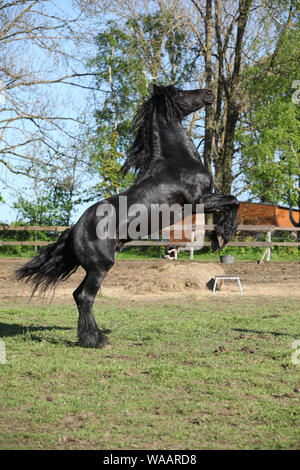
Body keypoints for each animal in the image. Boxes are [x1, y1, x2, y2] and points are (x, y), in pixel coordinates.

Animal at [16, 84, 240, 348]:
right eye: (180, 93)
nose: (208, 93)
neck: (177, 163)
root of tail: (74, 231)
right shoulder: (198, 202)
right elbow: (233, 201)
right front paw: (222, 237)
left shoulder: (201, 204)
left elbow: (232, 202)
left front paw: (219, 238)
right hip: (100, 267)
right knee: (84, 297)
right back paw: (97, 340)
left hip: (94, 268)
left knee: (77, 295)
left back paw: (90, 338)